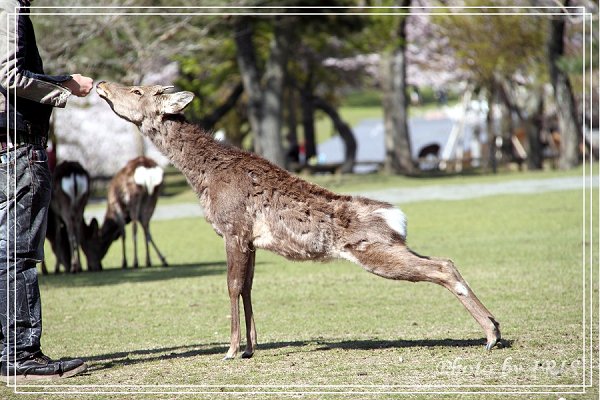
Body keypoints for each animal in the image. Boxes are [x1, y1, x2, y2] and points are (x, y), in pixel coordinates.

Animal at [97, 80, 502, 360]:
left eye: (137, 89)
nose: (101, 84)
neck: (203, 177)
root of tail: (395, 216)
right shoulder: (251, 240)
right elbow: (248, 287)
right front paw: (251, 348)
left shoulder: (232, 228)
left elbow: (231, 285)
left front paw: (230, 350)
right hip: (392, 245)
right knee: (444, 260)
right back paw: (495, 328)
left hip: (374, 252)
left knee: (441, 266)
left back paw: (491, 335)